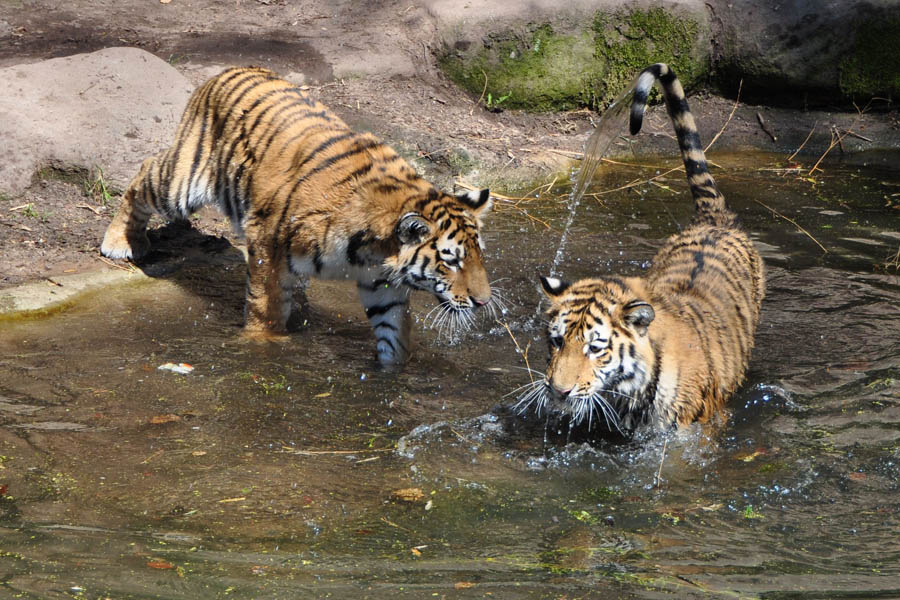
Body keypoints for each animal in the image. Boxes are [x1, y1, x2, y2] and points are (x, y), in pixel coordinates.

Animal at [100, 66, 494, 366]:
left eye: (478, 257)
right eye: (451, 261)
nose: (483, 302)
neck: (374, 251)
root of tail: (227, 71)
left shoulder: (381, 283)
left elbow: (394, 332)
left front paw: (394, 373)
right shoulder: (267, 243)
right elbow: (265, 306)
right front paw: (263, 343)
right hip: (183, 183)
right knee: (145, 172)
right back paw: (119, 241)